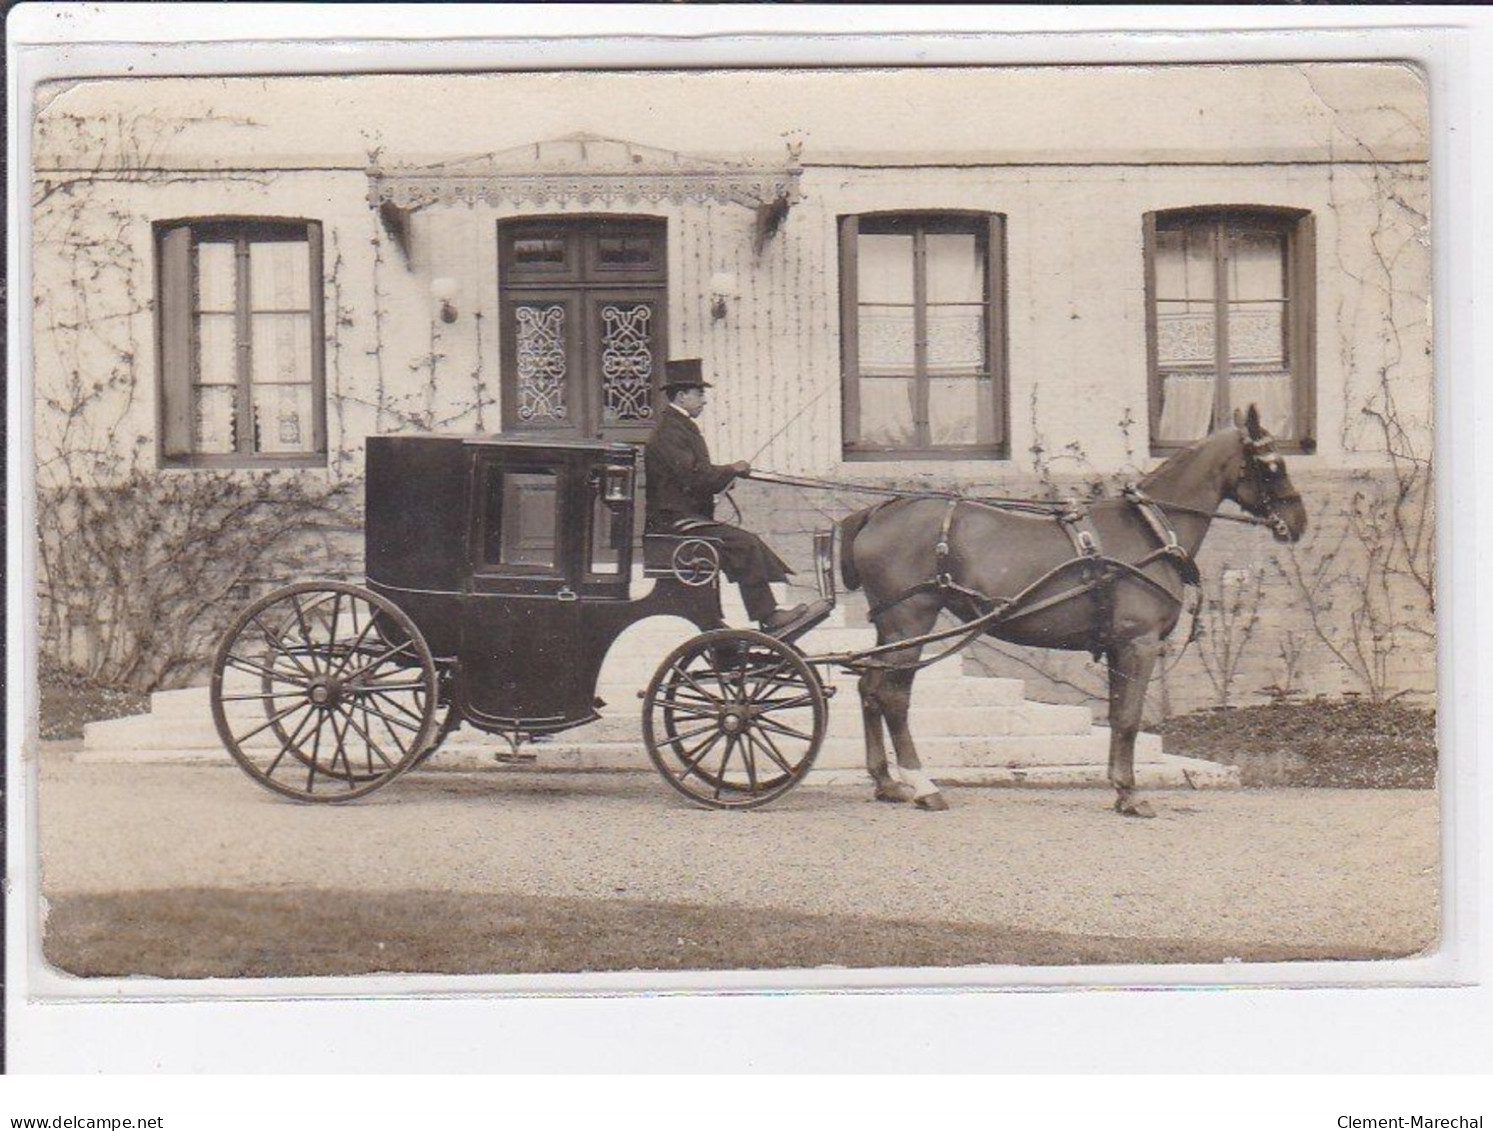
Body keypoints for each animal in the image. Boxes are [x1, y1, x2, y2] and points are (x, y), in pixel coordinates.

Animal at [842, 405, 1307, 817]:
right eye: (1271, 464)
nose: (1298, 521)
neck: (1150, 532)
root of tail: (877, 512)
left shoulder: (1119, 648)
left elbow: (1119, 716)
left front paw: (1120, 788)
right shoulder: (1138, 644)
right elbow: (1129, 719)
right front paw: (1131, 794)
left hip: (890, 628)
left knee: (868, 687)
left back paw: (886, 781)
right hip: (910, 623)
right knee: (893, 697)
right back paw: (923, 785)